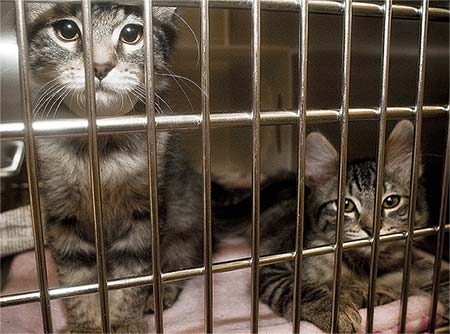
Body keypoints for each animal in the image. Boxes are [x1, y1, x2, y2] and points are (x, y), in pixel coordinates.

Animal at [26, 3, 204, 334]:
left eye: (132, 33)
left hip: (187, 220)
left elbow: (131, 275)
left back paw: (161, 293)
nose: (100, 66)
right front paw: (85, 325)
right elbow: (77, 279)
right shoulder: (62, 214)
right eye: (67, 30)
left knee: (181, 263)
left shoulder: (145, 213)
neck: (102, 149)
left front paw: (125, 321)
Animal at [255, 119, 430, 332]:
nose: (371, 229)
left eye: (391, 202)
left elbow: (384, 295)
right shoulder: (273, 267)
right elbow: (300, 289)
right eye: (346, 205)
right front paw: (335, 309)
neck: (362, 267)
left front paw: (362, 294)